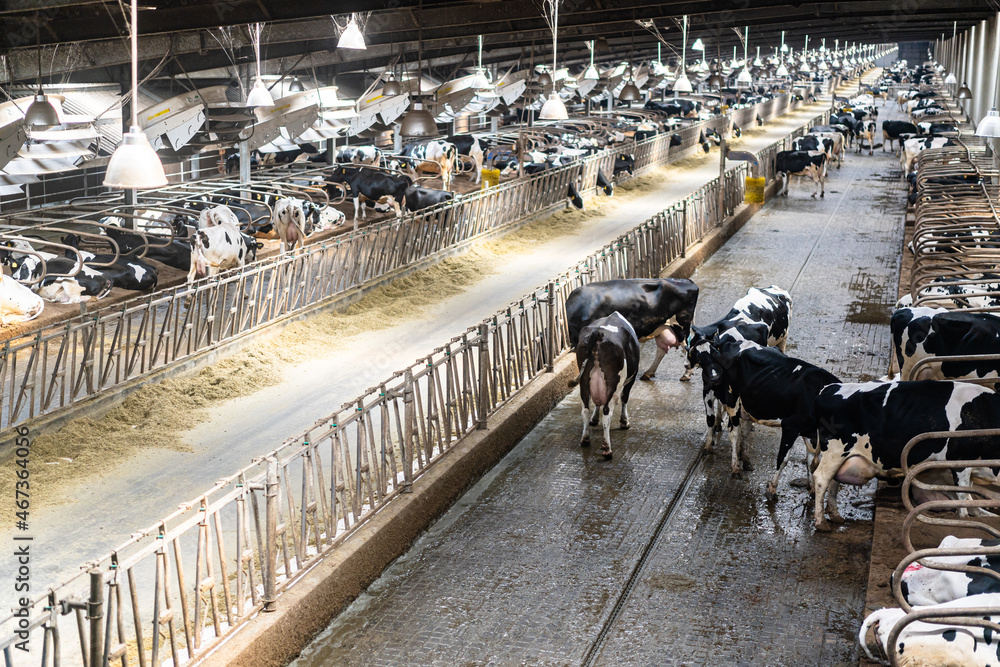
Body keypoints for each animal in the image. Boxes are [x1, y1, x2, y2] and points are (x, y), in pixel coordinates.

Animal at [568, 276, 700, 380]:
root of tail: (686, 281)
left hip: (681, 326)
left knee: (687, 347)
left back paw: (686, 374)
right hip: (662, 327)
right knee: (662, 349)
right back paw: (648, 373)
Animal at [568, 312, 636, 460]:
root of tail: (598, 333)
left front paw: (594, 419)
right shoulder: (631, 379)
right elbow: (625, 398)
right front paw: (624, 422)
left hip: (584, 381)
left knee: (585, 409)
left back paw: (585, 439)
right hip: (614, 384)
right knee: (607, 412)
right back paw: (607, 448)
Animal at [812, 380, 1000, 532]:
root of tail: (829, 388)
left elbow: (970, 494)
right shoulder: (960, 460)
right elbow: (962, 493)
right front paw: (964, 519)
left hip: (844, 456)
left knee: (834, 480)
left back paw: (835, 515)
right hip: (835, 451)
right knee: (822, 478)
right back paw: (821, 522)